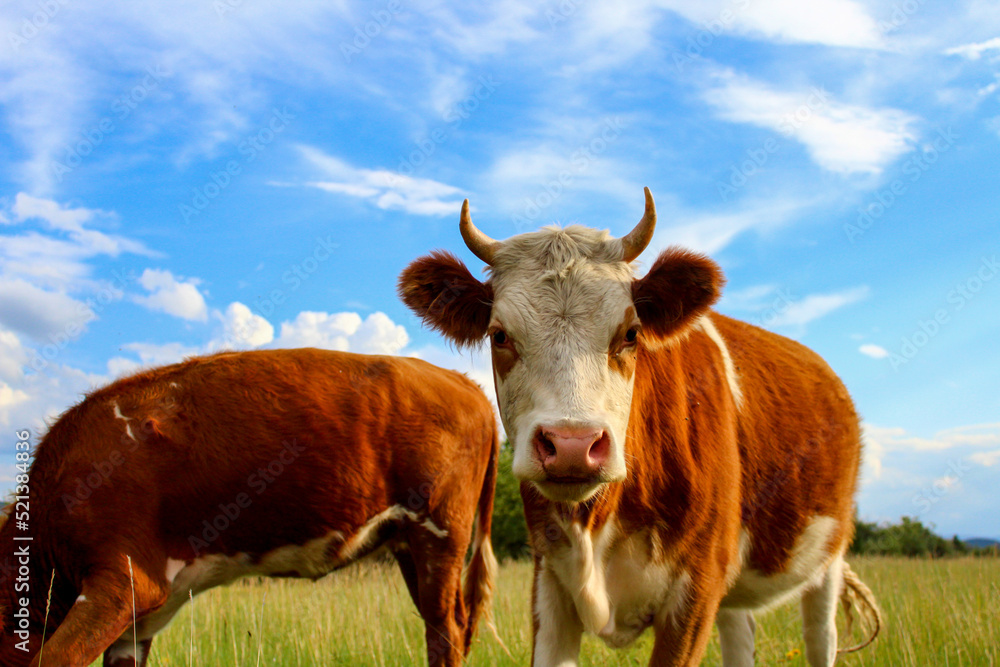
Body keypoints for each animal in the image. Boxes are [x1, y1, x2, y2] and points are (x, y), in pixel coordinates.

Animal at [0, 350, 500, 667]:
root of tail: (460, 380)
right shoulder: (137, 622)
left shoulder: (121, 583)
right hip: (408, 543)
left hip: (440, 530)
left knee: (446, 631)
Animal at [398, 189, 884, 667]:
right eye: (499, 334)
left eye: (631, 333)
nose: (572, 446)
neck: (597, 528)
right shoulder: (549, 581)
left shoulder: (697, 588)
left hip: (829, 553)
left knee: (820, 636)